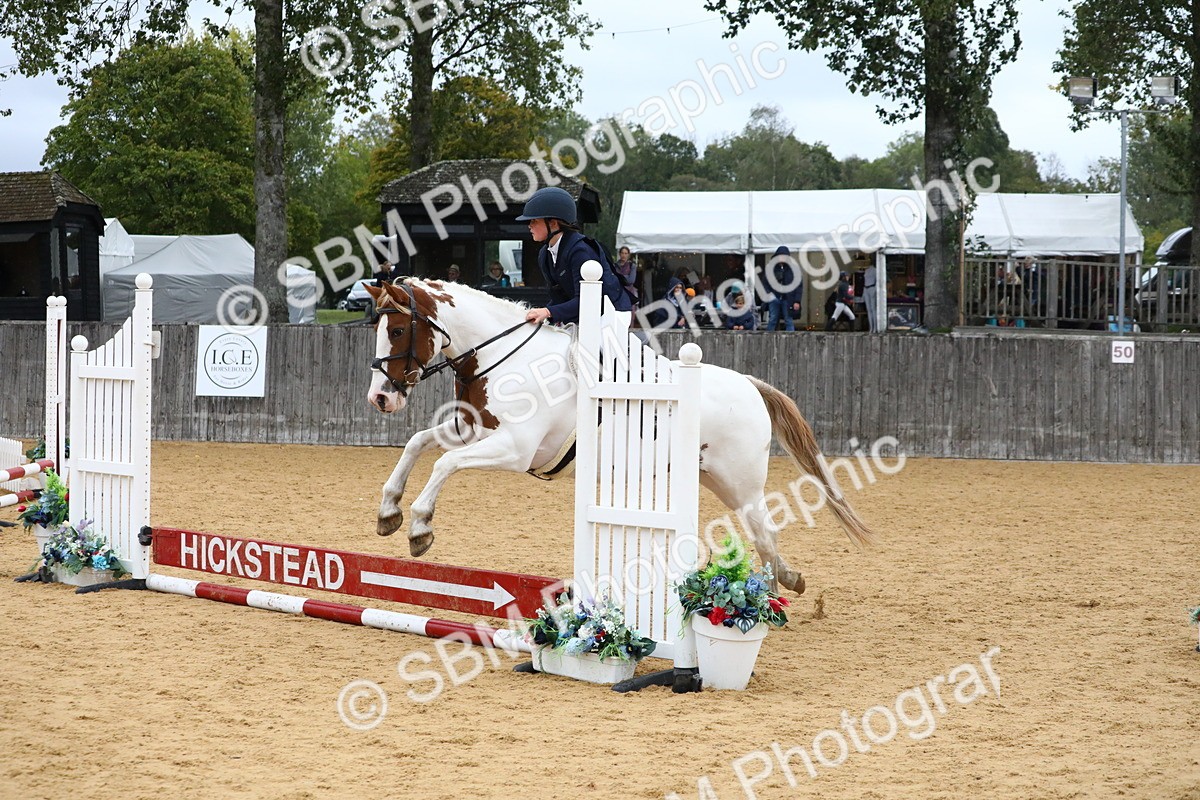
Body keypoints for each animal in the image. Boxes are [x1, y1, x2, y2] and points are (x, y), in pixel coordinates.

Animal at [364, 278, 876, 594]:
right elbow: (419, 443)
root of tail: (751, 385)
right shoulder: (471, 428)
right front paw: (388, 511)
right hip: (710, 477)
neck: (505, 357)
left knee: (764, 532)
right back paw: (786, 582)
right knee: (761, 534)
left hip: (739, 480)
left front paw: (420, 528)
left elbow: (444, 463)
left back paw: (772, 596)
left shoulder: (515, 449)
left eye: (399, 329)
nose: (380, 399)